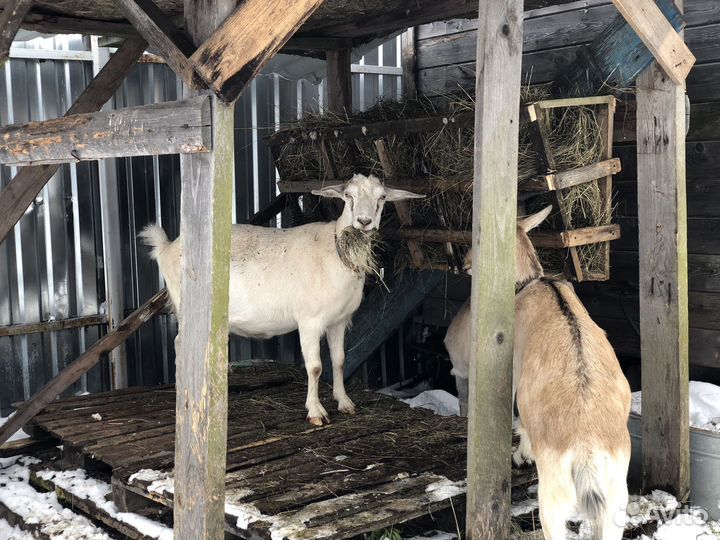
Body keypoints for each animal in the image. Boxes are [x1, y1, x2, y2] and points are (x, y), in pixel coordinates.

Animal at [140, 174, 423, 425]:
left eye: (382, 197)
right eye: (348, 196)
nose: (364, 221)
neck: (334, 252)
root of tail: (167, 248)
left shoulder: (339, 321)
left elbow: (340, 360)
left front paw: (344, 402)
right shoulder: (309, 320)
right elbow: (315, 366)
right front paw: (316, 412)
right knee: (180, 345)